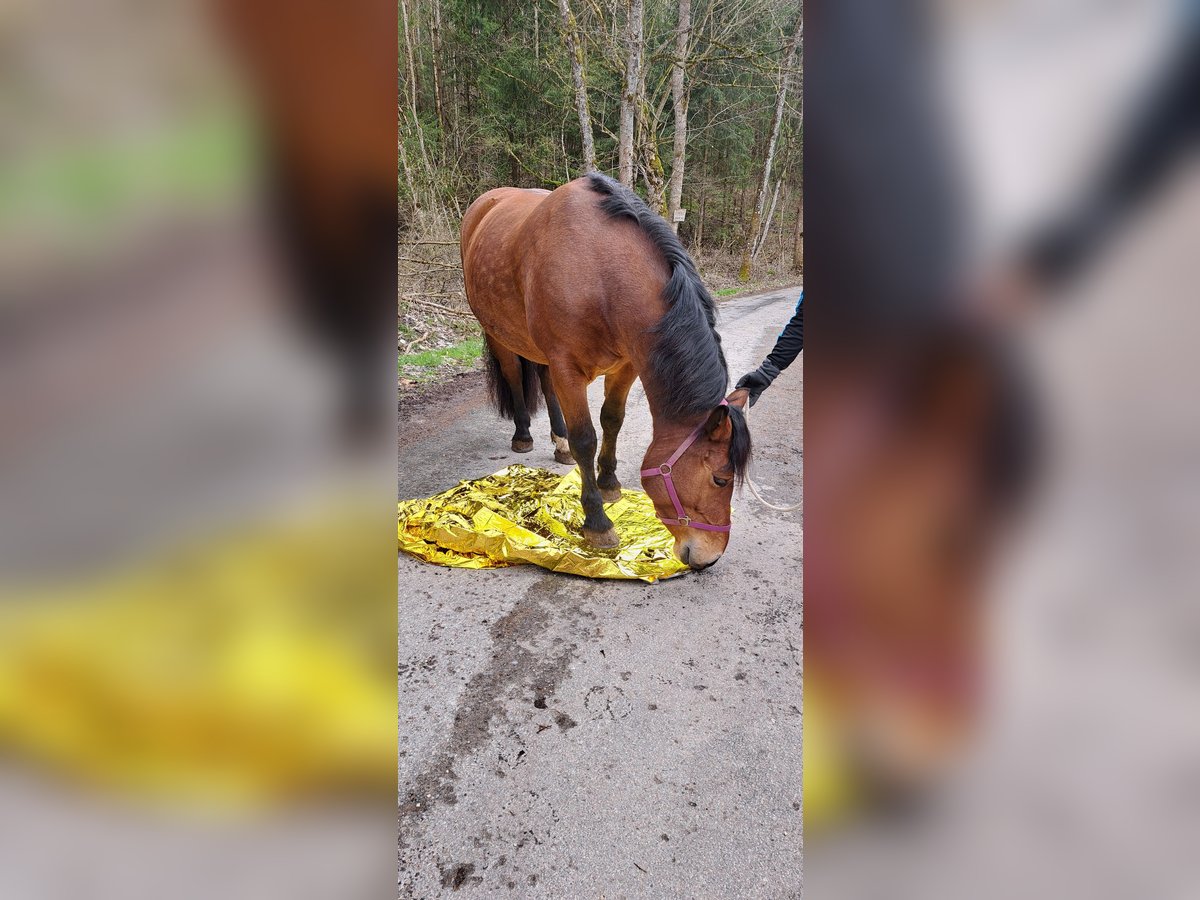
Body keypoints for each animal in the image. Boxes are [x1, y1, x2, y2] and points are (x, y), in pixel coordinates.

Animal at [458, 174, 748, 571]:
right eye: (720, 479)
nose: (709, 557)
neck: (599, 273)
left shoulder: (626, 365)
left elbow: (612, 420)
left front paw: (609, 482)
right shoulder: (568, 368)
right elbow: (586, 438)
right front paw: (597, 522)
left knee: (545, 383)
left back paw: (559, 441)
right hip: (499, 335)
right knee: (516, 378)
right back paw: (523, 435)